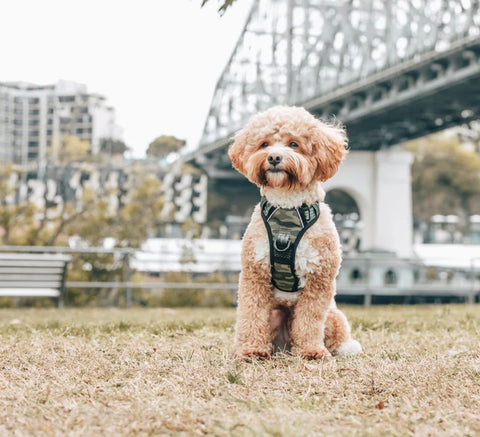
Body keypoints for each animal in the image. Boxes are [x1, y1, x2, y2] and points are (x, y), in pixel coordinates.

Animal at [228, 104, 360, 358]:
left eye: (293, 144)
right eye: (264, 144)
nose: (274, 157)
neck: (287, 207)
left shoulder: (319, 279)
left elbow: (309, 320)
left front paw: (311, 351)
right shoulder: (254, 274)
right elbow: (251, 314)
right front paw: (251, 349)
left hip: (333, 315)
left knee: (335, 331)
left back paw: (345, 347)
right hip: (275, 313)